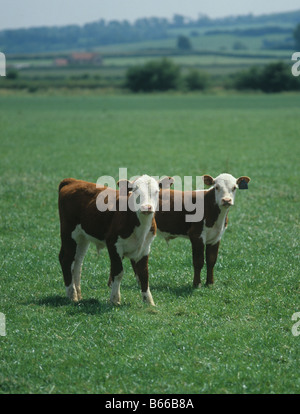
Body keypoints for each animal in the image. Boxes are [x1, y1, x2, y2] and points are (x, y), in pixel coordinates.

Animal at [58, 173, 170, 306]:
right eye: (135, 190)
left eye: (156, 191)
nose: (146, 207)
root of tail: (72, 181)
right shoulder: (113, 244)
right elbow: (118, 272)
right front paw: (115, 299)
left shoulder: (145, 247)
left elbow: (144, 274)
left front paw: (149, 301)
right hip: (68, 233)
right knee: (66, 260)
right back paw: (72, 295)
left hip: (82, 238)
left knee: (77, 263)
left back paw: (78, 294)